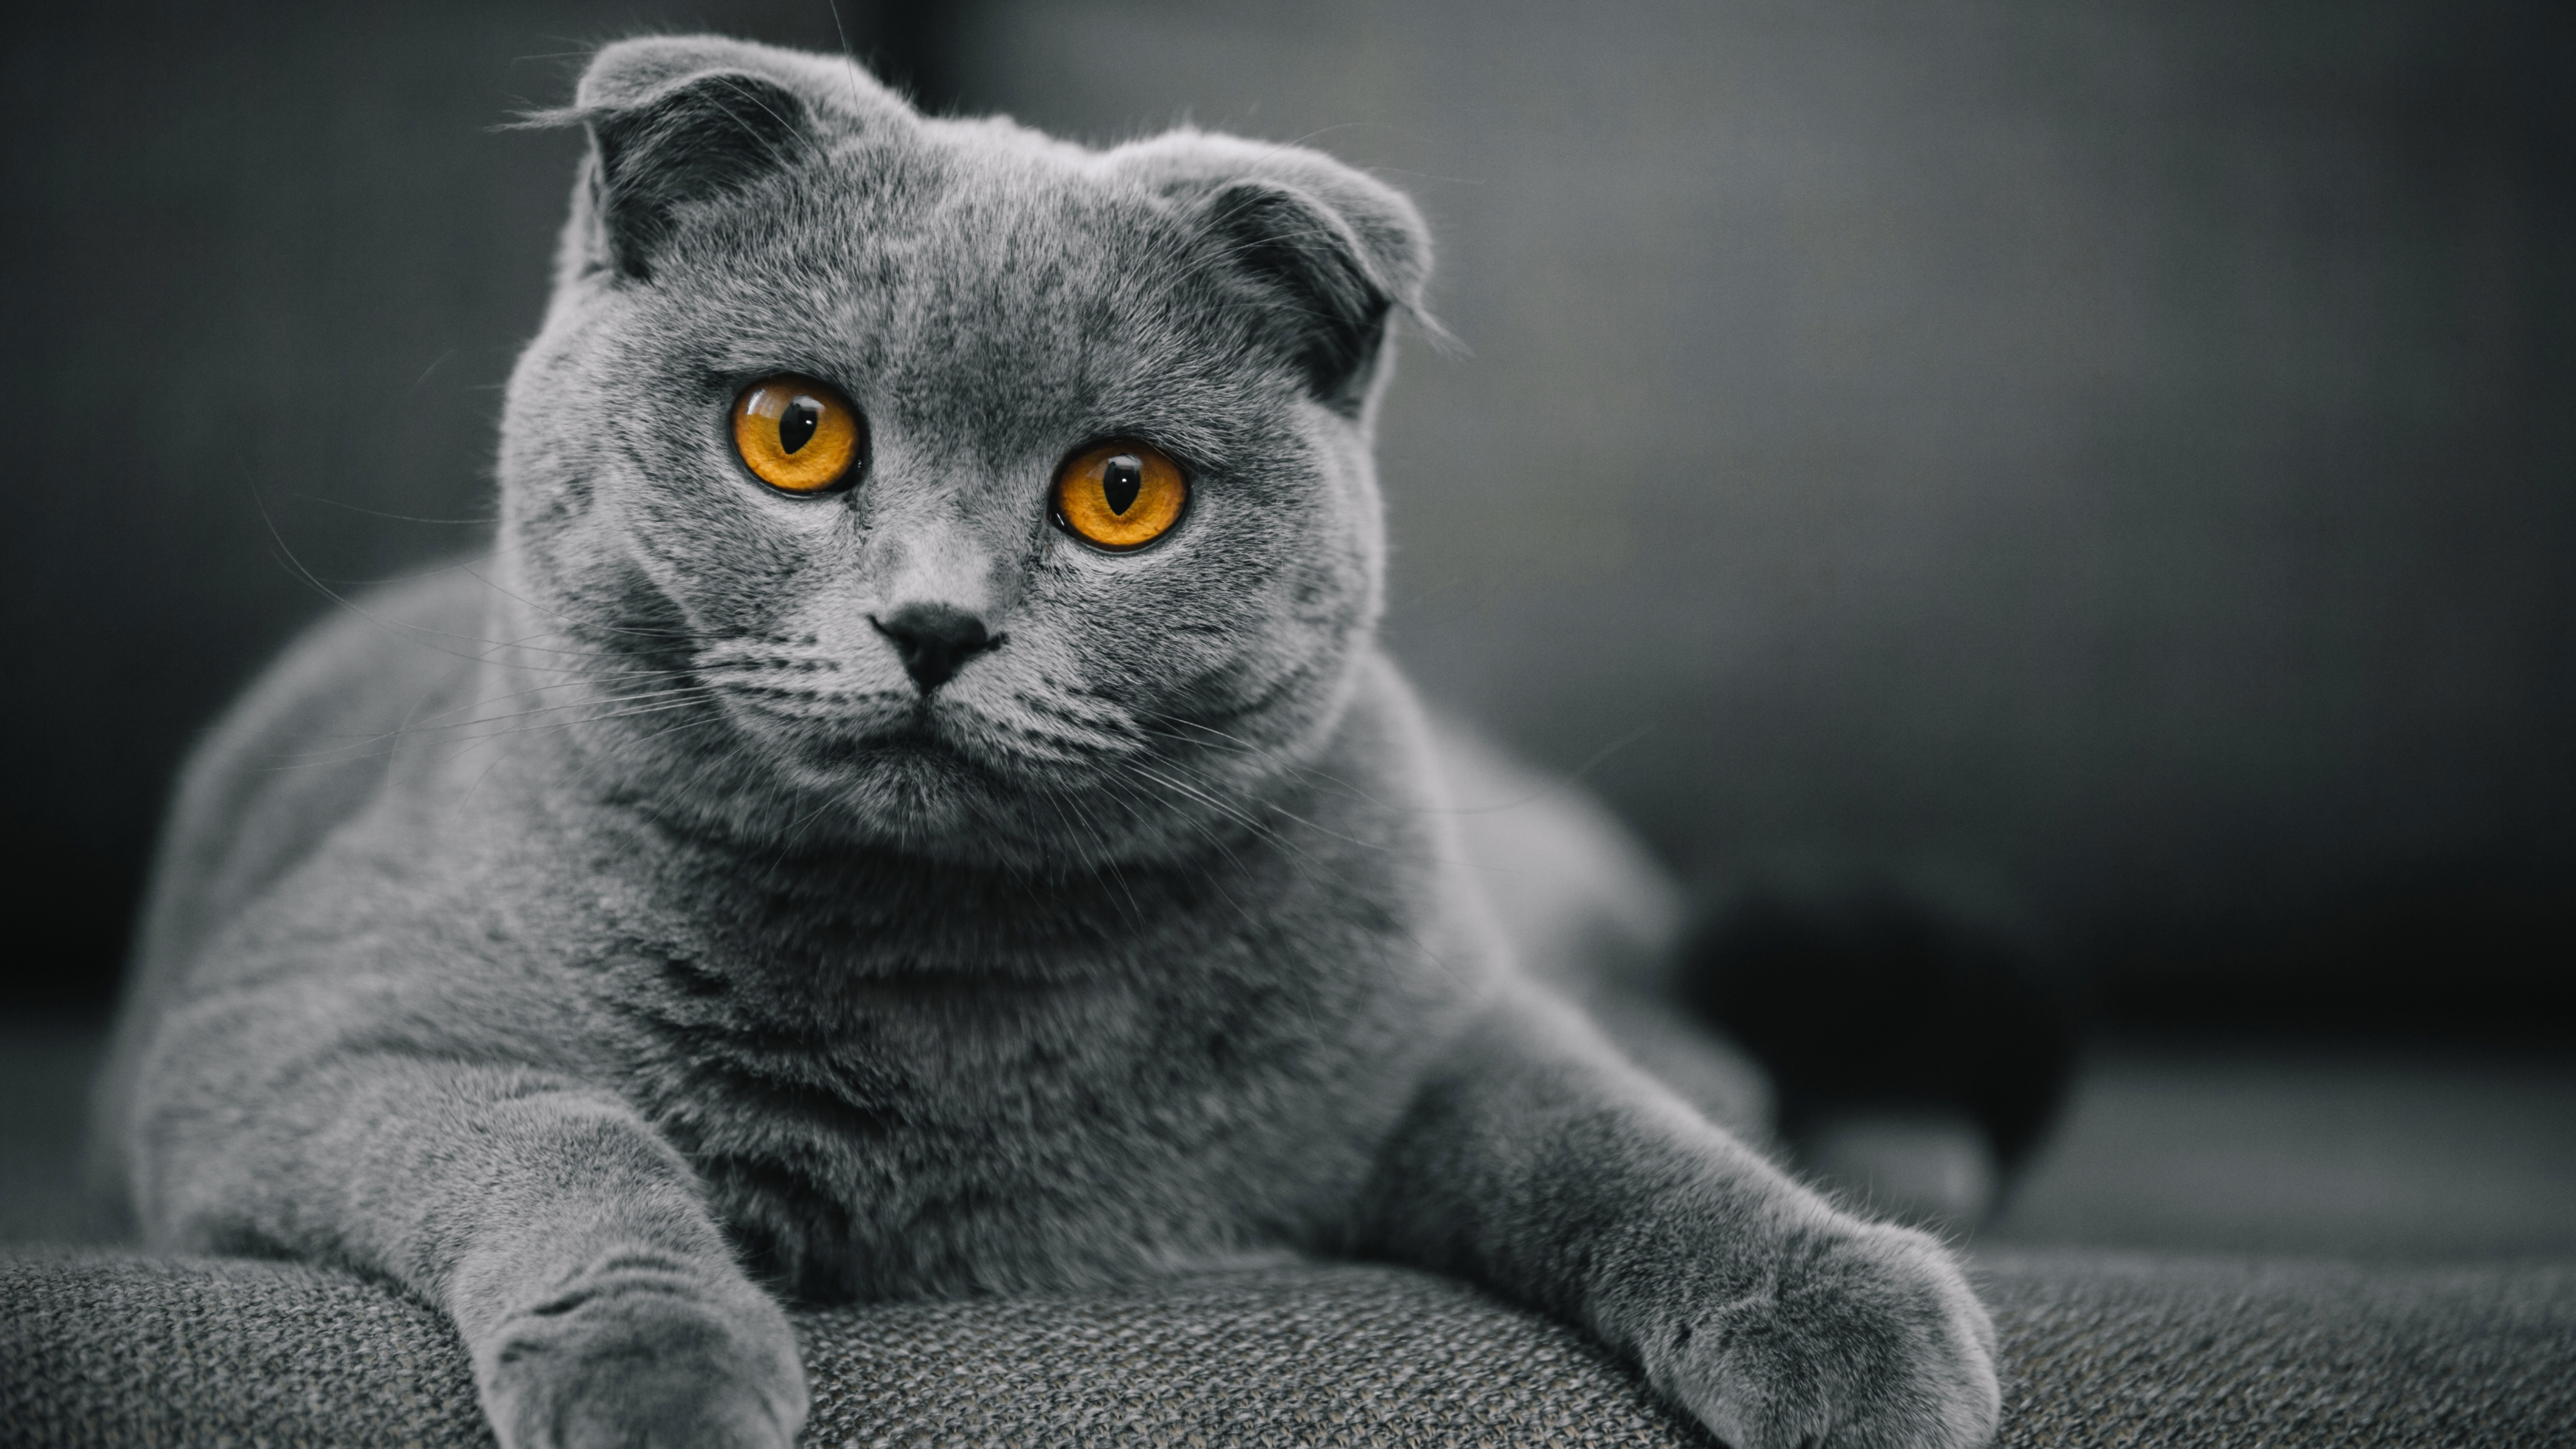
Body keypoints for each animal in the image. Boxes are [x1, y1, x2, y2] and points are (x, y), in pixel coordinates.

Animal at [91, 34, 1999, 1444]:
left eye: (1121, 493)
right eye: (793, 432)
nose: (934, 624)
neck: (958, 981)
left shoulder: (1433, 1024)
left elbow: (1616, 1136)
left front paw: (1849, 1309)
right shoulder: (287, 1035)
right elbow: (557, 1133)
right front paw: (665, 1369)